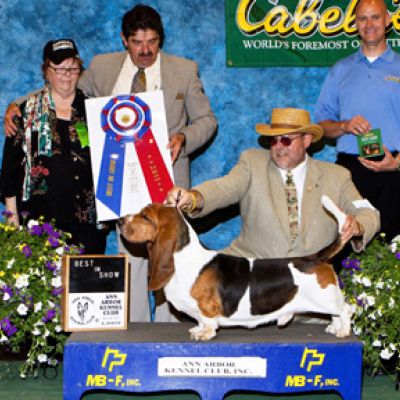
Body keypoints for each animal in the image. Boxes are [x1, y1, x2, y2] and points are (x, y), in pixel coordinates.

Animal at [119, 195, 352, 341]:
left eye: (146, 216)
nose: (120, 221)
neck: (183, 257)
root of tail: (315, 257)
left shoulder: (207, 306)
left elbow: (208, 320)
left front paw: (204, 333)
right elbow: (199, 320)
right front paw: (197, 329)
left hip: (325, 298)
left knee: (346, 309)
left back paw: (343, 331)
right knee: (337, 313)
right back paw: (334, 327)